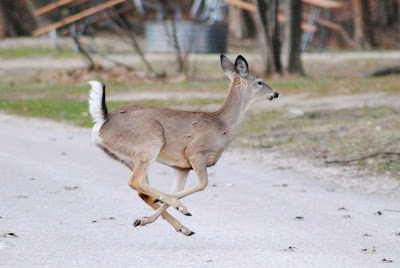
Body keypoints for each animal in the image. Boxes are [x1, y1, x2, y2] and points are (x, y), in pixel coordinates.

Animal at [89, 55, 280, 237]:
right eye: (260, 81)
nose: (276, 93)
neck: (221, 126)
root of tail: (104, 121)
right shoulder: (195, 153)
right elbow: (202, 184)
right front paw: (177, 206)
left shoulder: (182, 167)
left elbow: (177, 189)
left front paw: (146, 217)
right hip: (149, 144)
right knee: (135, 181)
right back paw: (181, 209)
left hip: (129, 158)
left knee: (141, 190)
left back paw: (182, 228)